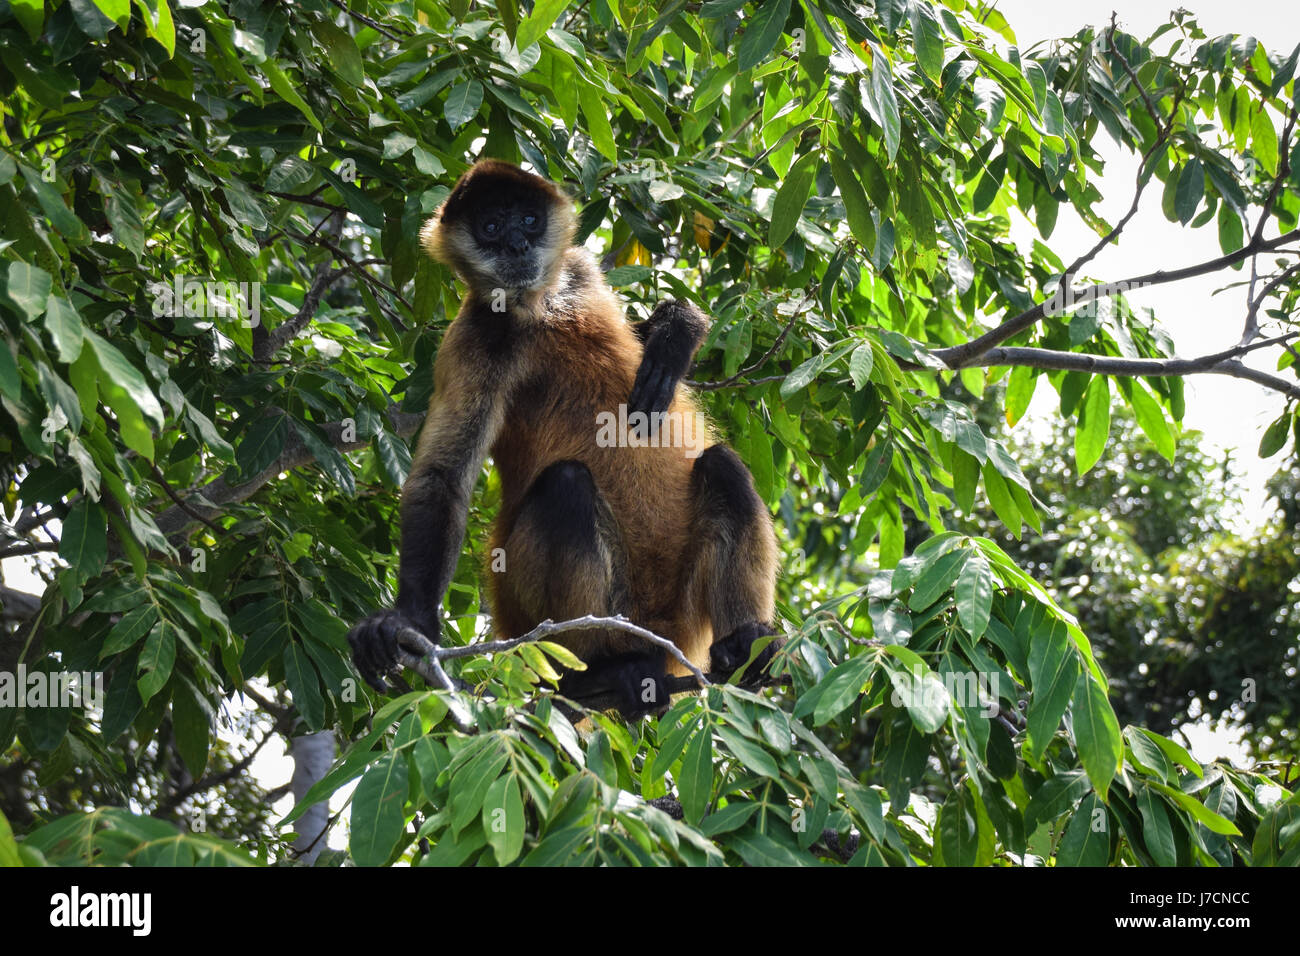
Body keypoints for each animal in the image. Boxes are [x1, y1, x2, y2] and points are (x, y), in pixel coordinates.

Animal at [343, 160, 780, 717]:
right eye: (490, 227)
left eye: (528, 219)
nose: (516, 246)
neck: (540, 304)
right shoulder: (479, 334)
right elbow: (443, 476)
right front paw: (407, 622)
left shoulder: (578, 271)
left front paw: (676, 331)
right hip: (527, 607)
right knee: (565, 486)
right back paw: (599, 674)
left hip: (682, 612)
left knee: (721, 465)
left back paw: (743, 647)